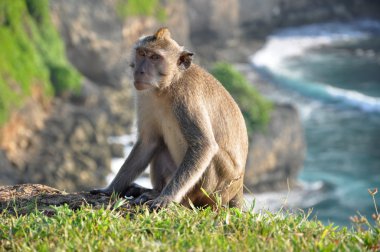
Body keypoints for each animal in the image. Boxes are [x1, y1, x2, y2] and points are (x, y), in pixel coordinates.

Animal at [90, 27, 248, 209]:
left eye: (155, 57)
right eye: (142, 53)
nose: (139, 71)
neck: (166, 87)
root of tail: (239, 186)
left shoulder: (187, 98)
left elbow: (204, 145)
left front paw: (166, 198)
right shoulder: (145, 97)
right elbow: (148, 142)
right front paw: (110, 189)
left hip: (220, 188)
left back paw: (181, 200)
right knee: (160, 146)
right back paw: (152, 191)